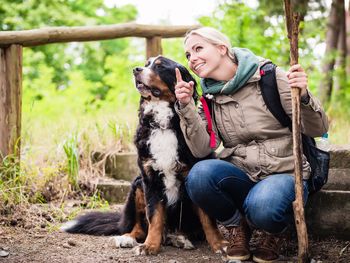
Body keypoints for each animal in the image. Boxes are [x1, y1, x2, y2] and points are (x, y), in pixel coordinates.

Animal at [61, 55, 227, 256]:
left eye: (160, 66)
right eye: (147, 64)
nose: (136, 70)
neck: (163, 125)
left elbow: (208, 219)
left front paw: (219, 244)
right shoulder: (150, 179)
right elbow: (154, 217)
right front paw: (150, 245)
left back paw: (179, 238)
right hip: (137, 185)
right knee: (139, 228)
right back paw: (128, 238)